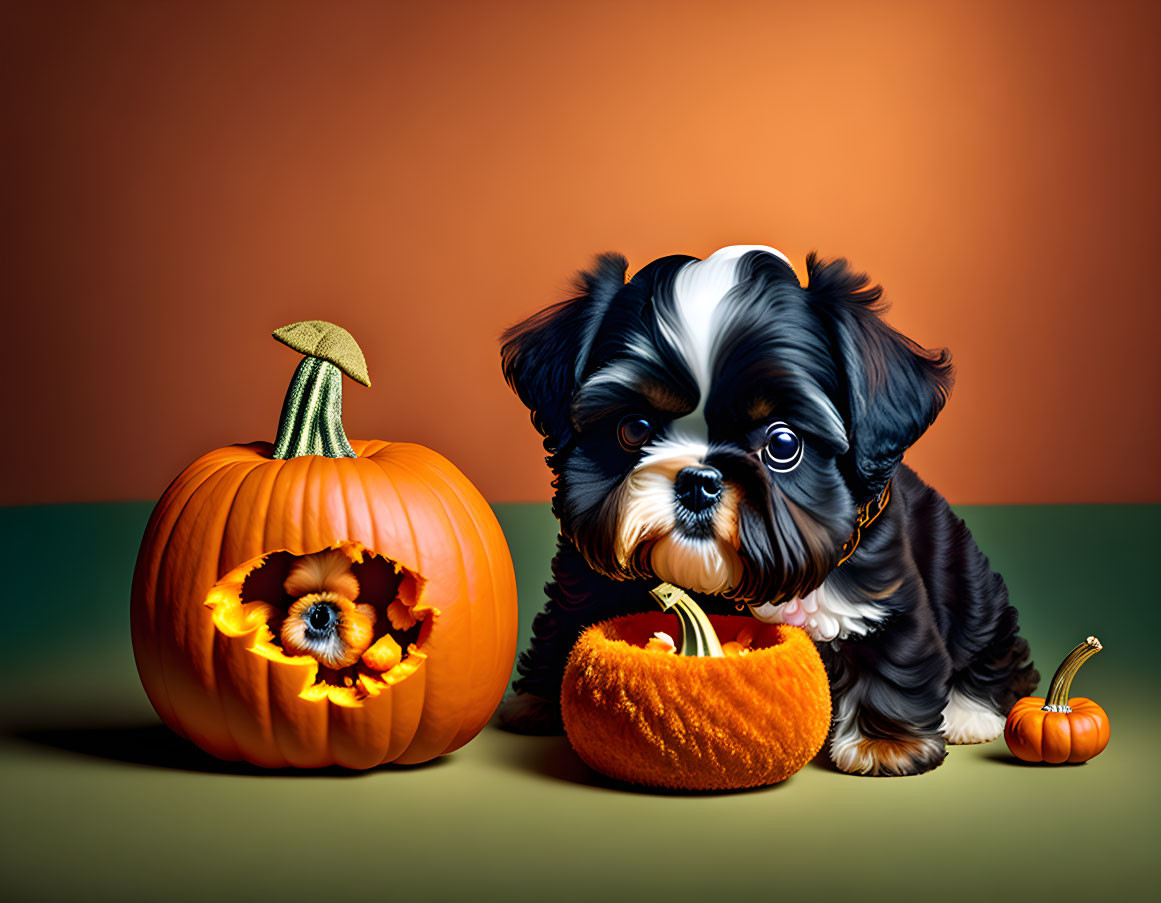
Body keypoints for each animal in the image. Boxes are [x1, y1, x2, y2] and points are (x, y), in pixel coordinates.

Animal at [494, 244, 1040, 775]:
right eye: (634, 428)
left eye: (783, 444)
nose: (699, 482)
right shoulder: (583, 572)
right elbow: (568, 617)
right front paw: (538, 698)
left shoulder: (882, 587)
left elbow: (894, 649)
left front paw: (885, 744)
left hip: (969, 581)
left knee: (996, 645)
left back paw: (971, 712)